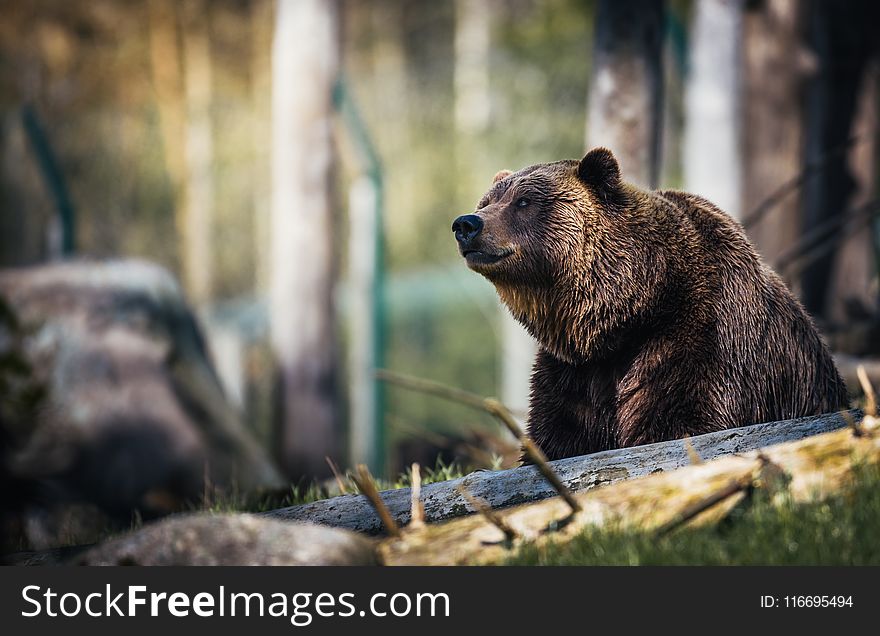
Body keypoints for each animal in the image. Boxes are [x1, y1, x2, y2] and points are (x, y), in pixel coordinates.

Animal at [450, 147, 848, 460]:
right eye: (487, 201)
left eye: (524, 201)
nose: (467, 224)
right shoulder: (574, 373)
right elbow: (559, 436)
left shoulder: (700, 336)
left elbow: (680, 419)